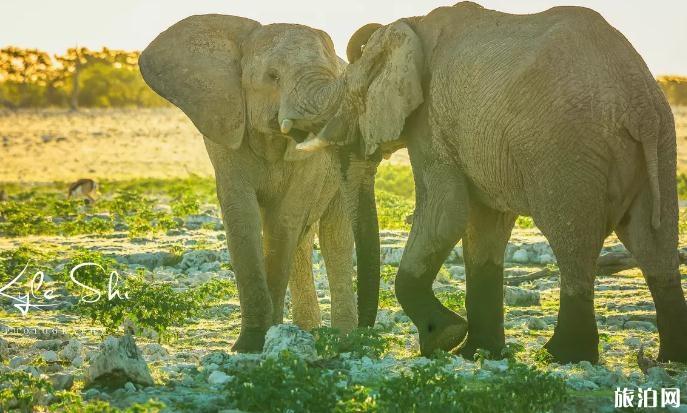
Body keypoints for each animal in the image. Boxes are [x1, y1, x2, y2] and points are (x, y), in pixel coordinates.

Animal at [138, 15, 382, 350]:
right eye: (272, 76)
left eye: (334, 74)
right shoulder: (226, 128)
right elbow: (243, 215)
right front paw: (248, 345)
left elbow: (283, 220)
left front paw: (267, 338)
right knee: (304, 242)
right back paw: (311, 333)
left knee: (335, 239)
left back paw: (340, 340)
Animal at [298, 2, 687, 364]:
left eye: (352, 101)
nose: (361, 337)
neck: (409, 27)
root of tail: (639, 105)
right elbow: (483, 224)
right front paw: (474, 351)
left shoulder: (431, 119)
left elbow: (446, 211)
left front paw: (443, 338)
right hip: (661, 143)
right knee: (654, 241)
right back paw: (670, 358)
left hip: (566, 150)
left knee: (573, 238)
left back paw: (563, 355)